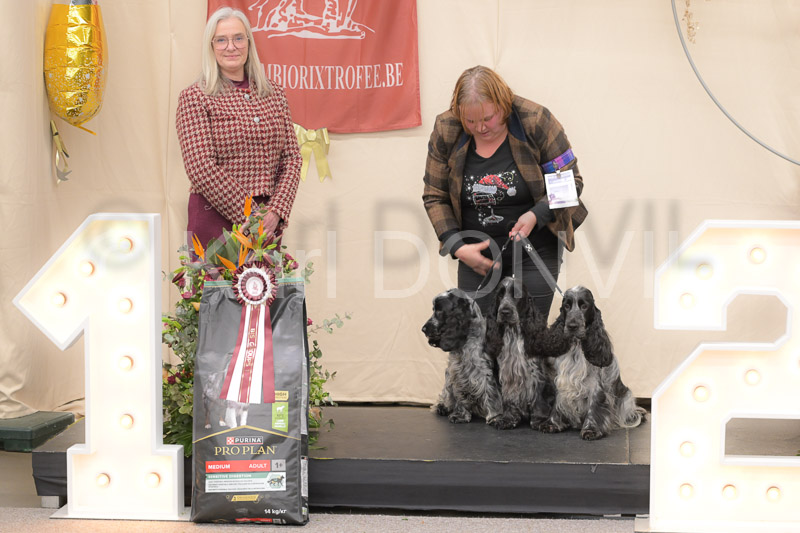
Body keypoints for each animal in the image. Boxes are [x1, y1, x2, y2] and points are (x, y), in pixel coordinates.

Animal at [422, 289, 504, 428]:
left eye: (439, 311)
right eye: (433, 309)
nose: (423, 329)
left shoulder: (486, 372)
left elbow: (491, 394)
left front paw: (495, 417)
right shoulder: (456, 372)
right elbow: (459, 396)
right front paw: (460, 415)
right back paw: (442, 406)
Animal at [484, 277, 560, 430]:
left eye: (517, 295)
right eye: (500, 295)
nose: (505, 312)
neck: (513, 332)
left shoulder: (536, 371)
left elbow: (538, 397)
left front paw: (539, 420)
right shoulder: (506, 374)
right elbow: (508, 398)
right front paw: (508, 419)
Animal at [541, 286, 646, 440]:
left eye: (584, 306)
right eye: (567, 306)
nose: (572, 326)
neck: (577, 346)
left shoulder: (596, 386)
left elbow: (594, 406)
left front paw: (591, 429)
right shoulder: (561, 382)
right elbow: (556, 403)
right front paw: (552, 423)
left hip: (627, 397)